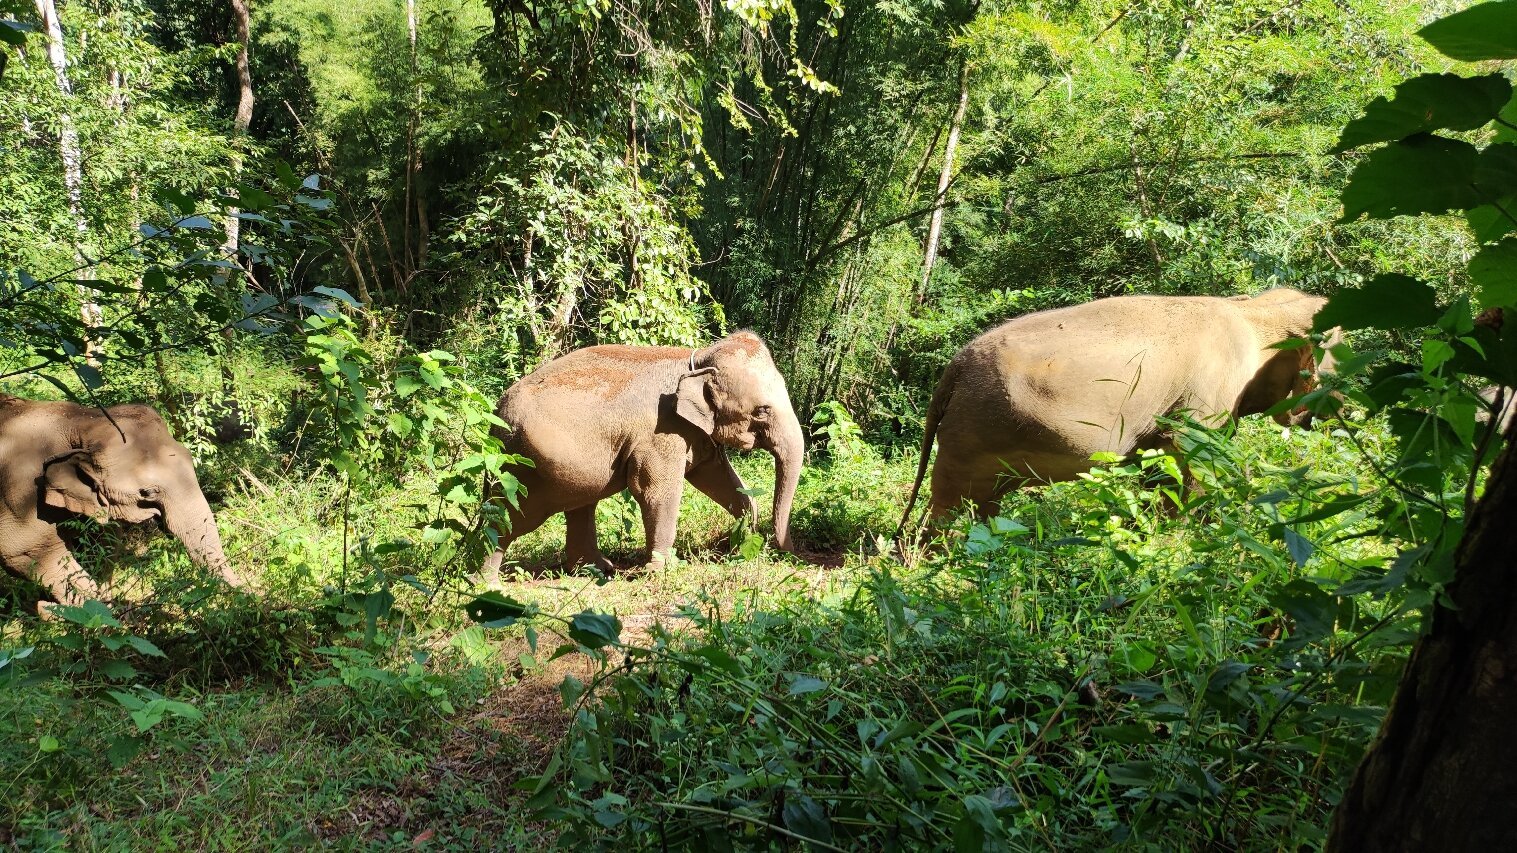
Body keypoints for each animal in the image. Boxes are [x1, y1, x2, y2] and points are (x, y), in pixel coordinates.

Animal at [0, 391, 247, 610]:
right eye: (148, 492)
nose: (247, 595)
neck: (82, 420)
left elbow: (105, 543)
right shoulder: (20, 502)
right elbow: (33, 554)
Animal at [479, 329, 807, 579]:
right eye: (762, 411)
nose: (787, 554)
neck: (698, 358)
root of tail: (496, 414)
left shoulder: (696, 433)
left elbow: (717, 478)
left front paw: (743, 539)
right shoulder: (660, 432)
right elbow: (656, 491)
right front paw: (664, 569)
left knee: (581, 505)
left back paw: (597, 570)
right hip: (520, 466)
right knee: (510, 517)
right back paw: (487, 583)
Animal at [891, 285, 1334, 525]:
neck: (1253, 309)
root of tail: (955, 367)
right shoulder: (1206, 396)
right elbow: (1192, 454)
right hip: (973, 429)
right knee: (953, 505)